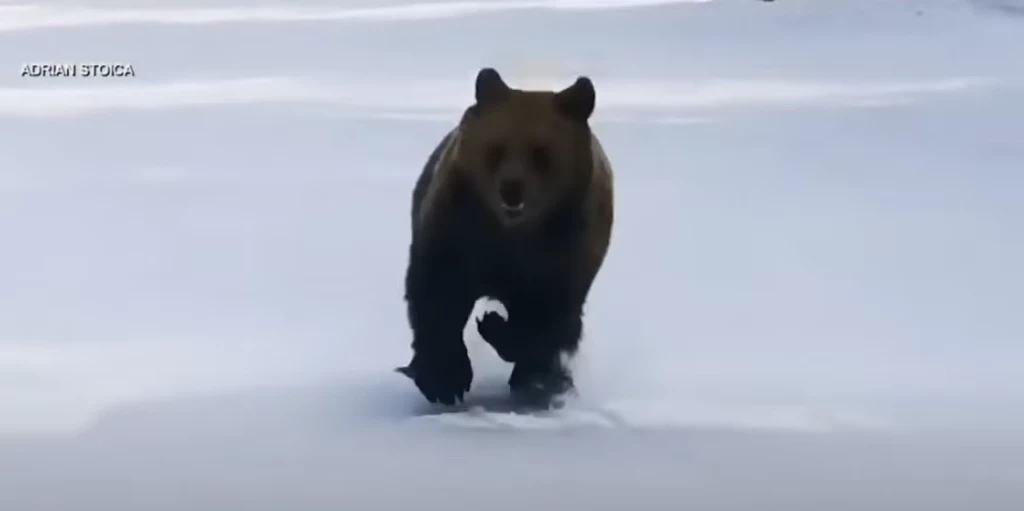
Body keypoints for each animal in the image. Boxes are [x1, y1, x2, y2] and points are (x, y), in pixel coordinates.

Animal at [395, 69, 610, 407]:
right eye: (496, 148)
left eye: (541, 152)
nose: (511, 187)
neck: (512, 231)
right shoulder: (458, 231)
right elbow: (439, 296)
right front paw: (445, 380)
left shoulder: (562, 252)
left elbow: (548, 317)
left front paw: (497, 328)